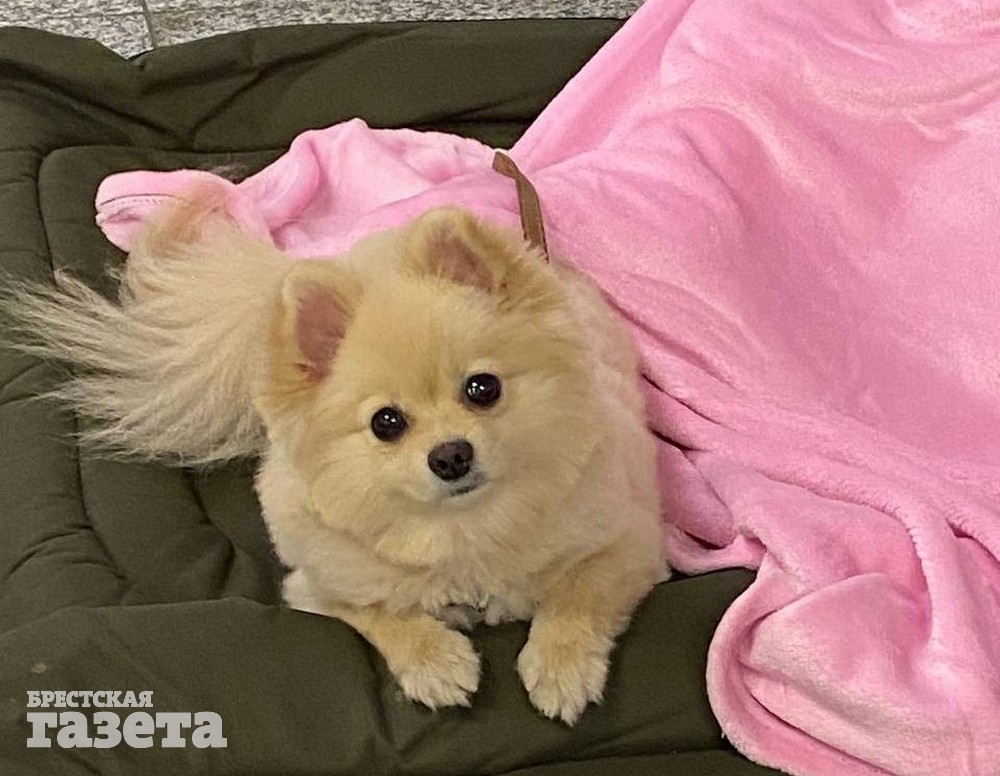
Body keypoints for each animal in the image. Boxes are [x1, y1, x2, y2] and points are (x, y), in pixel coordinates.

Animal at [3, 190, 667, 724]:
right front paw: (436, 663)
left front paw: (560, 669)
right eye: (386, 424)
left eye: (483, 389)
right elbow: (377, 613)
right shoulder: (316, 586)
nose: (450, 455)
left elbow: (577, 596)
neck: (463, 534)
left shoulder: (631, 541)